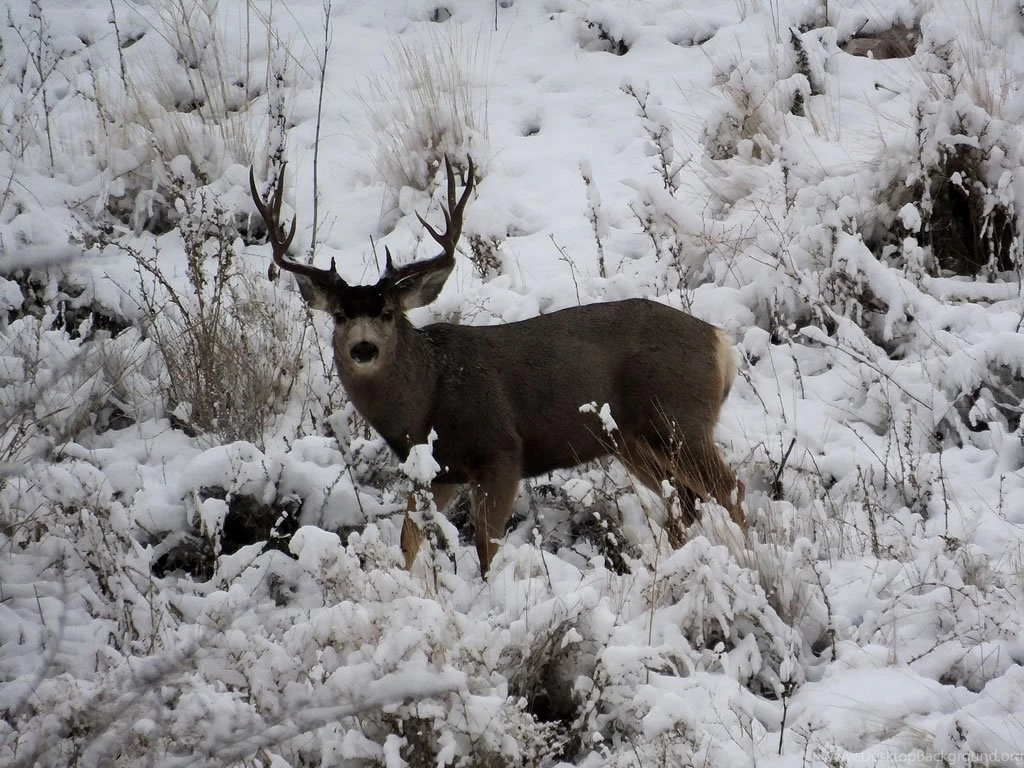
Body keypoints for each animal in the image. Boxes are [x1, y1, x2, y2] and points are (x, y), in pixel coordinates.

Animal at [249, 158, 744, 577]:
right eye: (339, 315)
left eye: (387, 312)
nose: (364, 349)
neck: (427, 401)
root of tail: (720, 342)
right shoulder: (439, 470)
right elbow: (409, 538)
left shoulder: (502, 450)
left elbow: (487, 546)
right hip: (635, 441)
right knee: (683, 504)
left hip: (679, 418)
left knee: (729, 489)